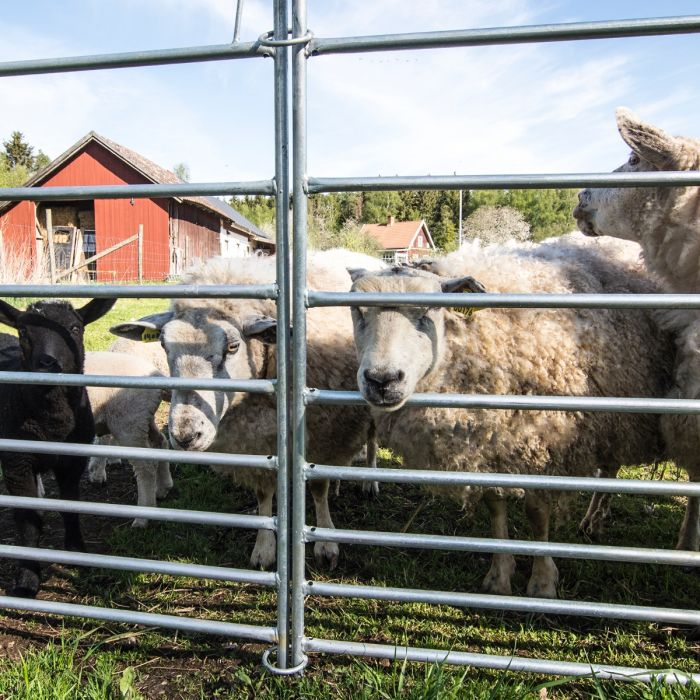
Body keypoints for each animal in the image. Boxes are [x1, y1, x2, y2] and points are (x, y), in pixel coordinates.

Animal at [0, 298, 116, 600]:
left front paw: (77, 556)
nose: (47, 364)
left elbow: (70, 508)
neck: (51, 424)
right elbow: (29, 521)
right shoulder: (16, 463)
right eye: (23, 331)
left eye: (75, 328)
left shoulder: (73, 460)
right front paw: (27, 579)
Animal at [350, 238, 688, 600]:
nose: (382, 380)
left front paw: (542, 581)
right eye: (357, 311)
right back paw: (593, 521)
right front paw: (500, 575)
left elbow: (537, 512)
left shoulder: (544, 442)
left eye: (427, 312)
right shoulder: (487, 443)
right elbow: (495, 506)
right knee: (609, 466)